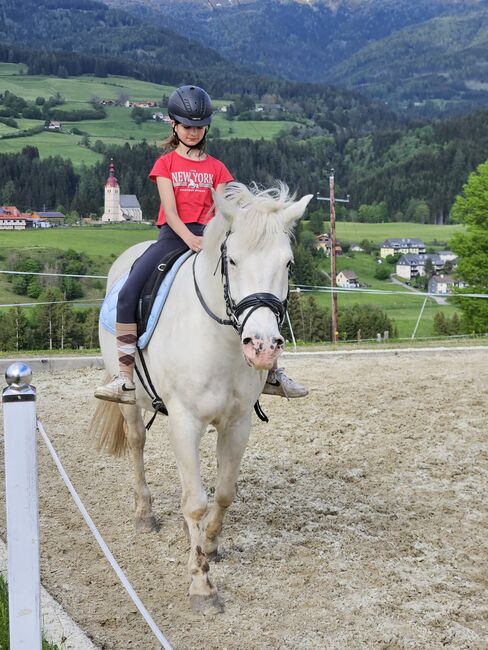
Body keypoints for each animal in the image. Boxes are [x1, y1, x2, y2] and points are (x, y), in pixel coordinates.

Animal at [90, 181, 312, 608]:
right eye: (233, 261)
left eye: (288, 264)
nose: (262, 348)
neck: (220, 341)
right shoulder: (185, 421)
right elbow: (194, 501)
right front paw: (201, 584)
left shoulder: (238, 423)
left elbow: (223, 493)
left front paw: (208, 546)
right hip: (131, 400)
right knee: (137, 443)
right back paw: (144, 514)